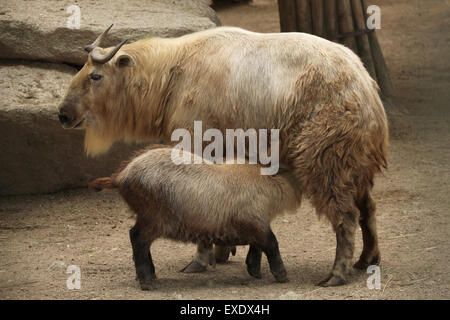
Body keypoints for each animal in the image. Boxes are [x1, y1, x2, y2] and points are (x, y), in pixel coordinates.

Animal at [88, 145, 302, 290]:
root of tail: (121, 176)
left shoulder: (256, 224)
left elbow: (257, 248)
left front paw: (255, 272)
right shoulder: (256, 222)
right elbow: (271, 244)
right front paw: (282, 276)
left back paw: (152, 276)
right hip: (153, 219)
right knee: (137, 239)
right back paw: (147, 281)